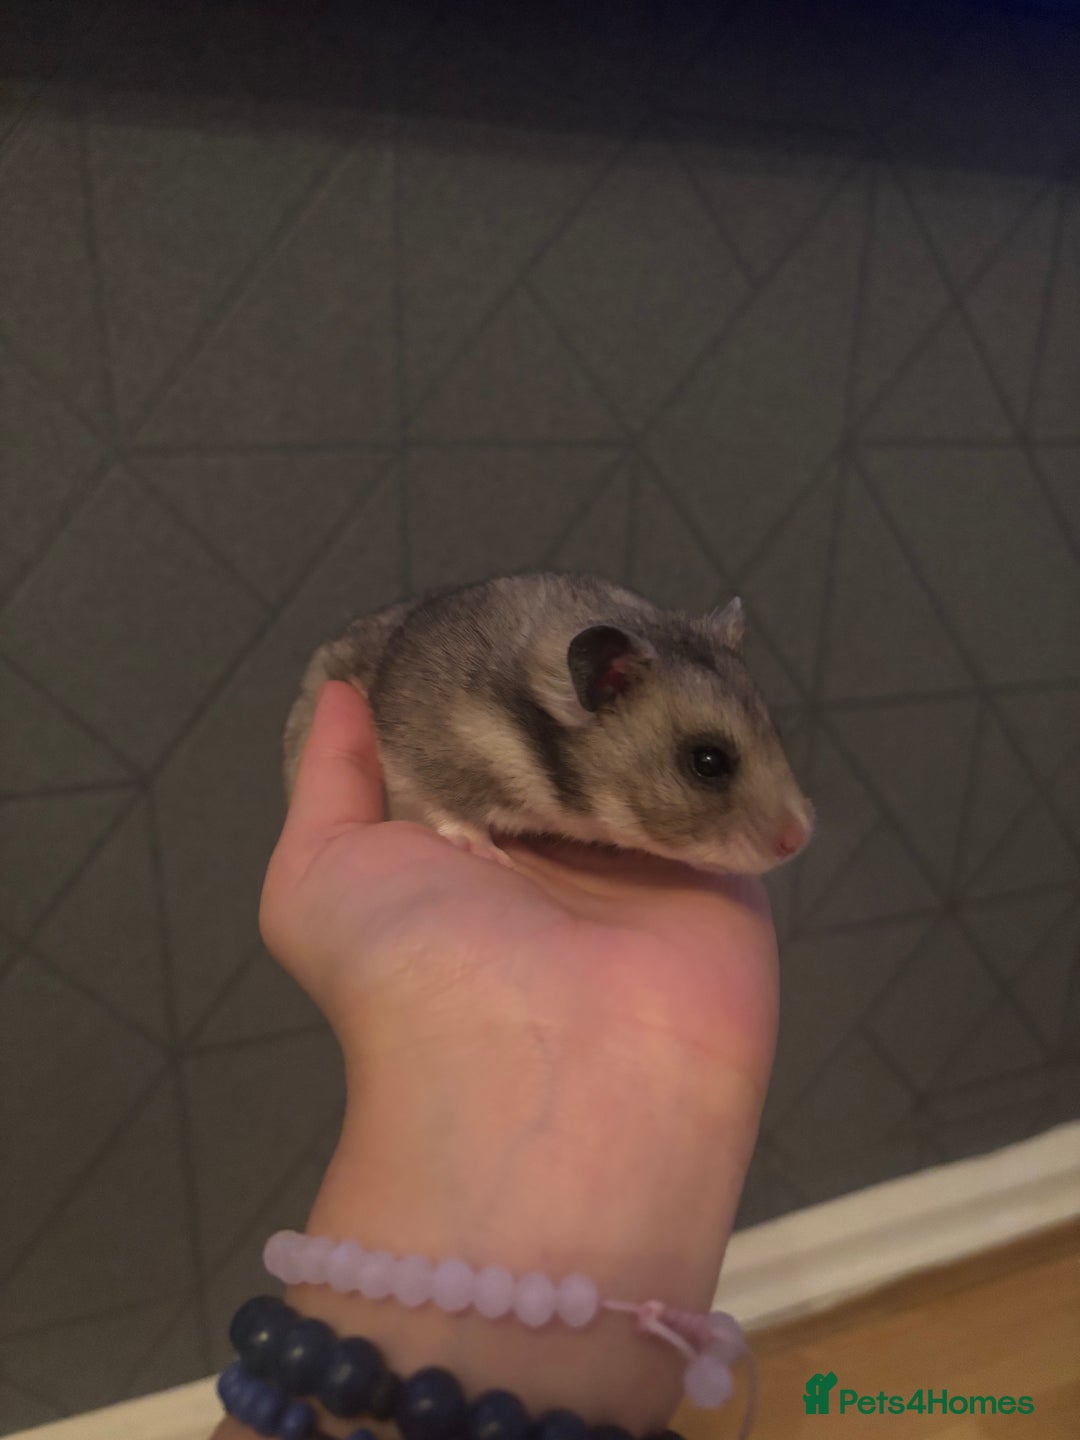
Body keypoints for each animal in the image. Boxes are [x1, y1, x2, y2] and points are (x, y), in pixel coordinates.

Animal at [283, 572, 814, 876]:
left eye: (776, 731)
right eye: (707, 761)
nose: (800, 840)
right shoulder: (430, 750)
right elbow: (450, 806)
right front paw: (488, 853)